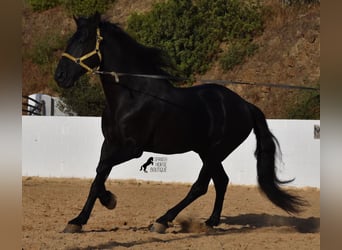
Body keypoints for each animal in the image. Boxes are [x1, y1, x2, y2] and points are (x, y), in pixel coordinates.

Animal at [54, 13, 306, 232]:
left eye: (84, 40)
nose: (60, 76)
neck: (132, 95)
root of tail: (245, 105)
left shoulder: (132, 149)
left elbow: (101, 172)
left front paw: (99, 207)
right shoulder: (110, 143)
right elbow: (98, 176)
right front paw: (82, 218)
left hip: (215, 152)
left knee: (201, 186)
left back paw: (163, 221)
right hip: (207, 152)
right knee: (221, 181)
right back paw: (211, 221)